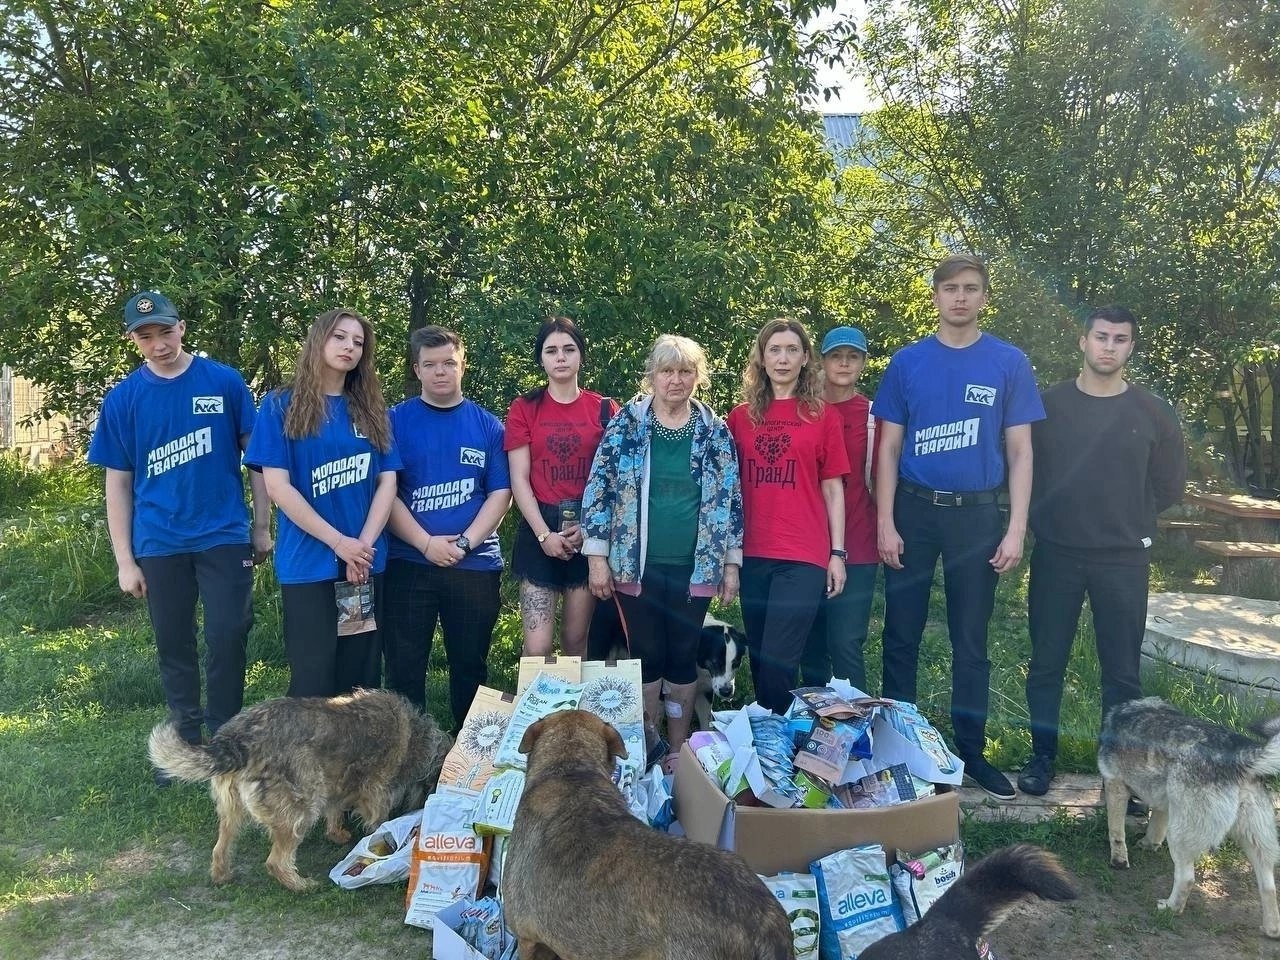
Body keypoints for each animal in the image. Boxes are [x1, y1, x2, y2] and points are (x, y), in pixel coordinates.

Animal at [147, 686, 450, 890]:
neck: (415, 738)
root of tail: (235, 740)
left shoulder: (335, 783)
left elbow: (335, 810)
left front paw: (337, 833)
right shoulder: (376, 789)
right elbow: (377, 818)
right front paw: (377, 836)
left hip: (231, 810)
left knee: (220, 847)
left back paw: (222, 875)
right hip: (299, 810)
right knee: (276, 861)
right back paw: (299, 885)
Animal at [1095, 701, 1280, 942]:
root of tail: (1240, 757)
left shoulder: (1115, 785)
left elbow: (1116, 833)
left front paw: (1118, 860)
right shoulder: (1165, 803)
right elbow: (1155, 827)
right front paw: (1148, 844)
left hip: (1179, 837)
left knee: (1187, 878)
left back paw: (1170, 907)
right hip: (1256, 845)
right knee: (1269, 887)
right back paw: (1271, 930)